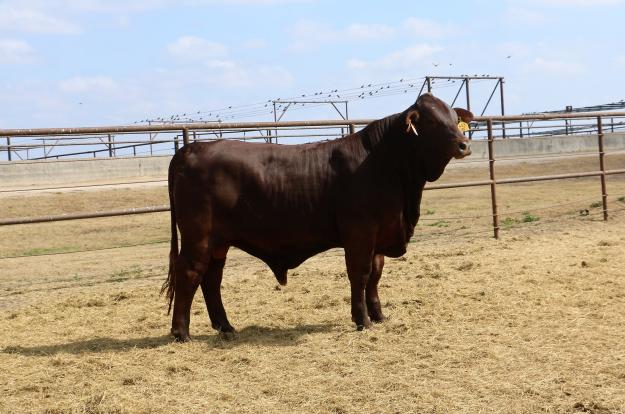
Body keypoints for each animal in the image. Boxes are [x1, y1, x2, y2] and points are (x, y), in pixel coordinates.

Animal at [162, 93, 473, 341]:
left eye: (454, 118)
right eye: (431, 121)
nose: (464, 144)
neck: (388, 164)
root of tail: (191, 148)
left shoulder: (379, 234)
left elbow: (375, 275)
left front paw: (379, 316)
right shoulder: (359, 232)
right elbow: (360, 274)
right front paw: (362, 320)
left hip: (218, 242)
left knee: (212, 278)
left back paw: (225, 326)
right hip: (199, 237)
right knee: (189, 272)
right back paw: (181, 332)